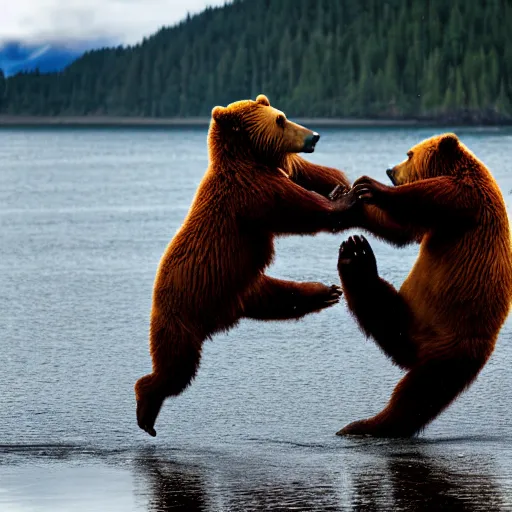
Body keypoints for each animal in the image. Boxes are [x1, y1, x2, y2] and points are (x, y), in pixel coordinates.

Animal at [136, 95, 358, 436]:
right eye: (280, 119)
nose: (314, 136)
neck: (247, 158)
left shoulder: (273, 171)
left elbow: (305, 171)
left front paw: (340, 183)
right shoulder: (250, 193)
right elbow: (297, 208)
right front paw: (344, 199)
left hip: (247, 287)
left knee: (284, 297)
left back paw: (325, 291)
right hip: (183, 314)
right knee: (176, 368)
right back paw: (146, 410)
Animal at [334, 134, 512, 438]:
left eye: (409, 154)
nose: (390, 170)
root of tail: (418, 349)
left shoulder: (468, 198)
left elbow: (429, 198)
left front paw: (371, 187)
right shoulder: (439, 221)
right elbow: (404, 229)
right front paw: (347, 199)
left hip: (450, 346)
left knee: (417, 393)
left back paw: (368, 424)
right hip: (415, 316)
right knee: (381, 308)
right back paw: (355, 256)